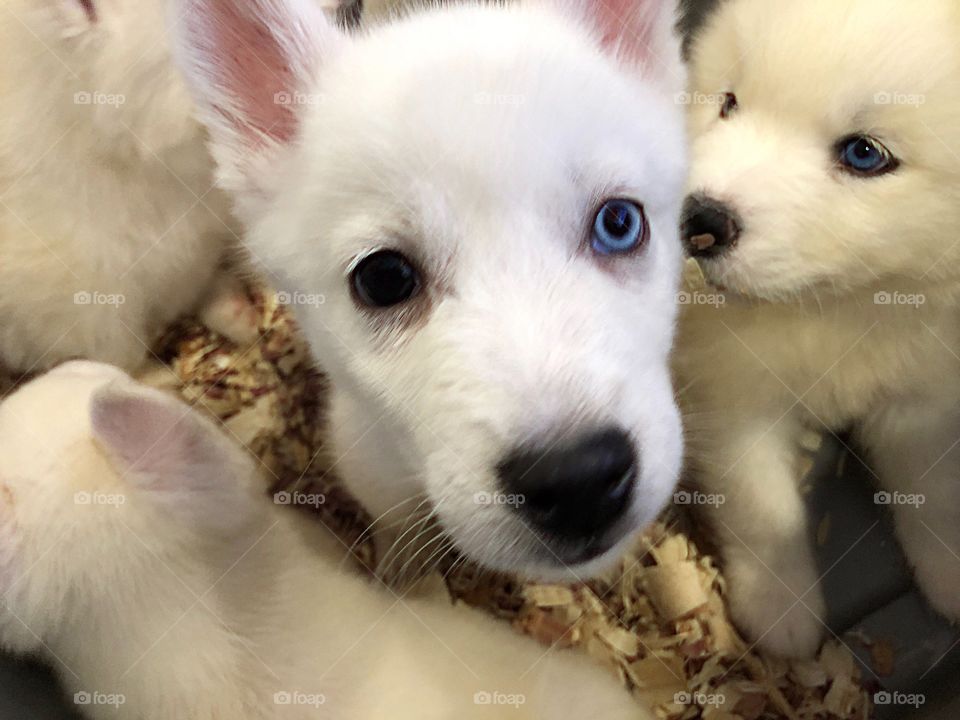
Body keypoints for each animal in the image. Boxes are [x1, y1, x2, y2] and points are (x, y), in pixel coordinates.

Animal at [174, 0, 688, 584]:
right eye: (383, 279)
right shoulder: (367, 460)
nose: (579, 481)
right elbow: (395, 520)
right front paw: (402, 573)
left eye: (619, 223)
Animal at [676, 0, 960, 660]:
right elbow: (763, 508)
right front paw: (781, 607)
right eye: (730, 102)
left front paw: (950, 571)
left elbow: (933, 489)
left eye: (864, 154)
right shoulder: (732, 397)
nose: (698, 220)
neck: (839, 311)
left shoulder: (926, 398)